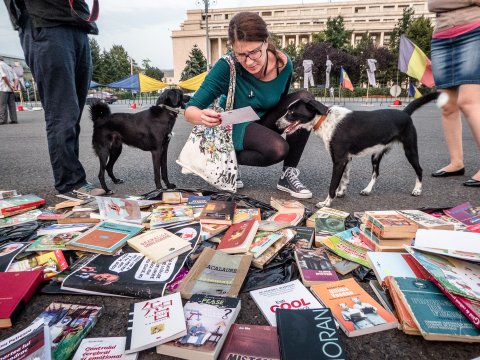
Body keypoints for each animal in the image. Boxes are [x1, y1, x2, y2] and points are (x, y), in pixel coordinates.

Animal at [278, 90, 442, 208]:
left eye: (291, 112)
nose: (277, 123)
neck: (325, 119)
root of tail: (404, 112)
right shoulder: (347, 158)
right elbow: (344, 179)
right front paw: (341, 192)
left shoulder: (339, 160)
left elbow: (332, 185)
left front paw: (326, 203)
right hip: (376, 155)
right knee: (376, 173)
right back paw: (368, 190)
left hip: (410, 150)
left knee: (419, 169)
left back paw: (417, 190)